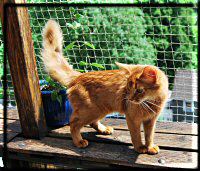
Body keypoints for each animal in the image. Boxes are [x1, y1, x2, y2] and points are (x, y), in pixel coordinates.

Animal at [41, 20, 169, 155]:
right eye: (128, 88)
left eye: (139, 90)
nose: (129, 99)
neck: (151, 102)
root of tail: (79, 76)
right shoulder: (132, 118)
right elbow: (136, 135)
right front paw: (140, 147)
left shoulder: (151, 120)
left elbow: (149, 136)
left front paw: (150, 147)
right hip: (90, 110)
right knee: (73, 122)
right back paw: (79, 141)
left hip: (101, 109)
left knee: (92, 122)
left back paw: (103, 129)